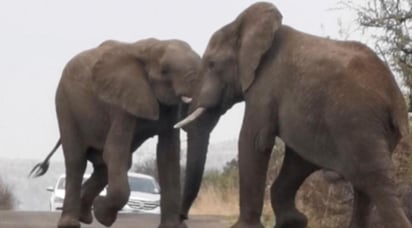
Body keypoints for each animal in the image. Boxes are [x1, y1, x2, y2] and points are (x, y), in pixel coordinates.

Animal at [29, 38, 220, 228]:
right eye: (164, 71)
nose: (184, 216)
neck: (152, 47)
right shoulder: (121, 101)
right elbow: (114, 151)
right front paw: (103, 216)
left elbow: (168, 154)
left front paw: (173, 227)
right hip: (65, 105)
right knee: (77, 160)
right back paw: (72, 222)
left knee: (107, 164)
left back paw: (85, 216)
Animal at [177, 1, 412, 228]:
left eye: (212, 64)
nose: (182, 217)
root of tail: (395, 98)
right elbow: (299, 158)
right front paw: (292, 221)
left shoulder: (265, 85)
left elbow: (254, 142)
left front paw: (244, 227)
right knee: (364, 187)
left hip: (358, 123)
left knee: (374, 181)